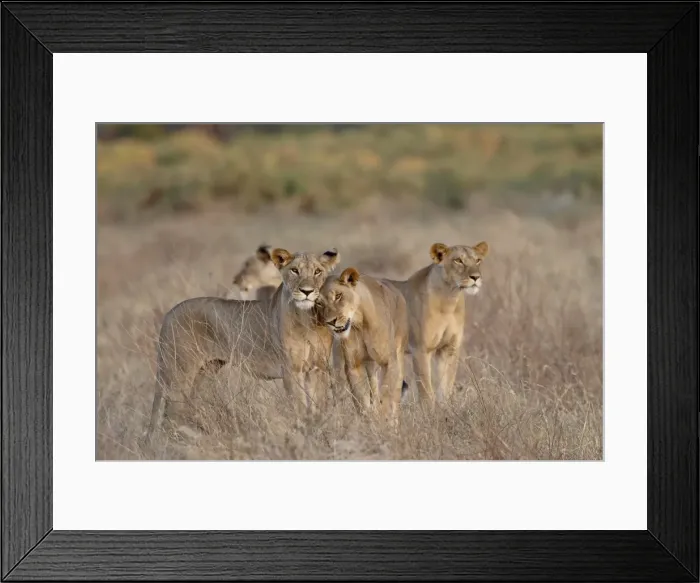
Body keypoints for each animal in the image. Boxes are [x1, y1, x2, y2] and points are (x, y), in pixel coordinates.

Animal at [145, 247, 340, 442]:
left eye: (317, 271)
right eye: (294, 270)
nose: (307, 291)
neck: (308, 318)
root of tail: (169, 314)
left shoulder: (318, 368)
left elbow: (317, 407)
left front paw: (318, 434)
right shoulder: (292, 370)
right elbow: (299, 407)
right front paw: (303, 435)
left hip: (204, 372)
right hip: (180, 371)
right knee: (170, 414)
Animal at [318, 267, 408, 425]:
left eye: (338, 296)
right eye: (319, 303)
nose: (331, 322)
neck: (360, 323)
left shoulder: (389, 361)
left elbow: (386, 394)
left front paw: (384, 422)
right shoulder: (353, 365)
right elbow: (362, 401)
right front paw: (370, 422)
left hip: (398, 355)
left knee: (395, 396)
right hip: (370, 363)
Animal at [385, 241, 489, 407]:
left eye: (478, 260)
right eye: (458, 260)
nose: (475, 277)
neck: (449, 299)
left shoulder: (449, 349)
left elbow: (445, 387)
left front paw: (445, 409)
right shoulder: (420, 349)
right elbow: (426, 391)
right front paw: (430, 411)